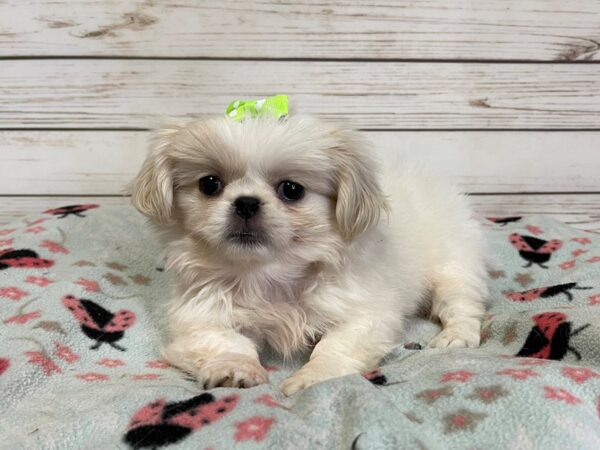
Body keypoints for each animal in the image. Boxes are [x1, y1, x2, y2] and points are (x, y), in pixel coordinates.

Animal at [130, 115, 488, 394]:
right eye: (209, 184)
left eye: (292, 190)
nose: (246, 203)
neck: (268, 273)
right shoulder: (200, 316)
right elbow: (227, 342)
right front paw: (234, 370)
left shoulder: (365, 314)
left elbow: (334, 346)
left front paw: (311, 379)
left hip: (454, 268)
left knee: (461, 307)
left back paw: (455, 337)